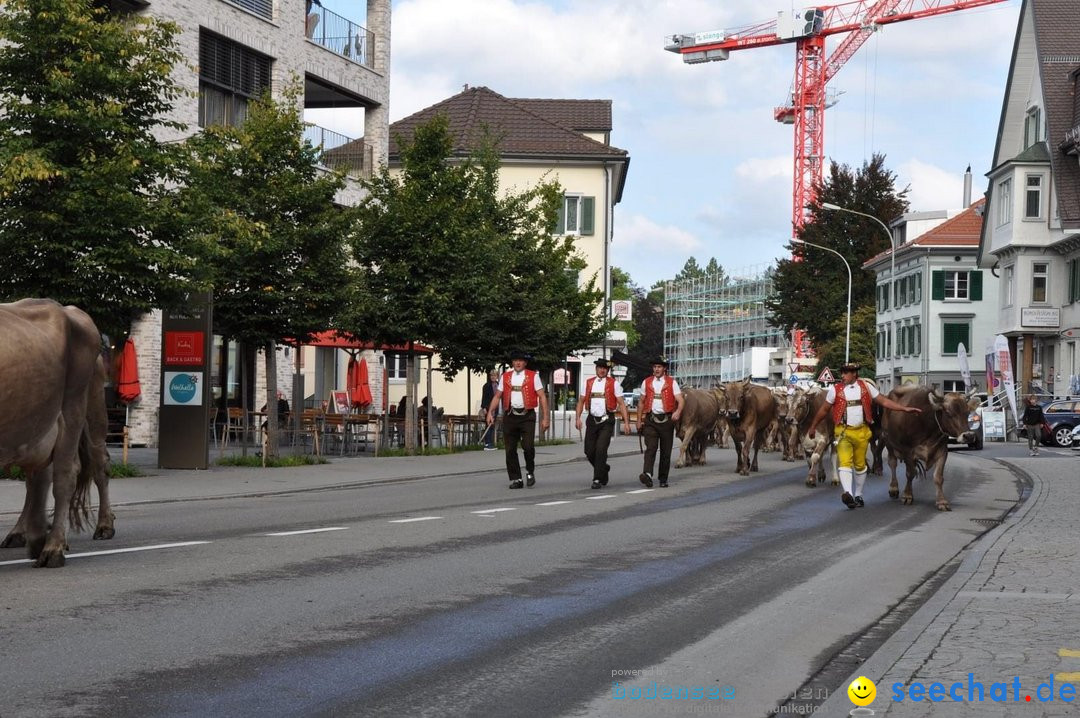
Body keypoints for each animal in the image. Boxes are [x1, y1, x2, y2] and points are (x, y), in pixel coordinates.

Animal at [0, 295, 108, 565]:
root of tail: (67, 308)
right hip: (40, 426)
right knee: (39, 479)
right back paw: (33, 535)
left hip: (79, 410)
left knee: (73, 473)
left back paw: (59, 545)